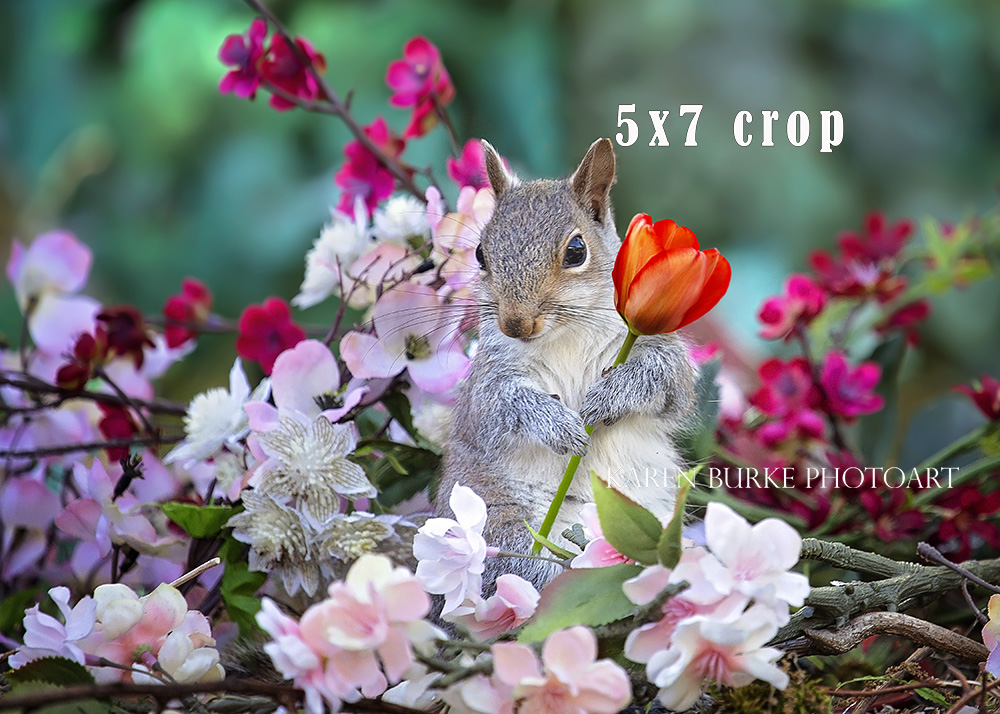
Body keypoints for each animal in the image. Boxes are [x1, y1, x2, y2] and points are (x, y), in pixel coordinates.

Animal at [439, 138, 697, 589]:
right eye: (481, 253)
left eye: (577, 251)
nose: (515, 324)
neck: (566, 334)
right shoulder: (487, 384)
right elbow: (500, 406)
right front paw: (558, 425)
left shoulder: (656, 347)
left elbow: (668, 380)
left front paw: (609, 397)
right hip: (498, 519)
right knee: (520, 571)